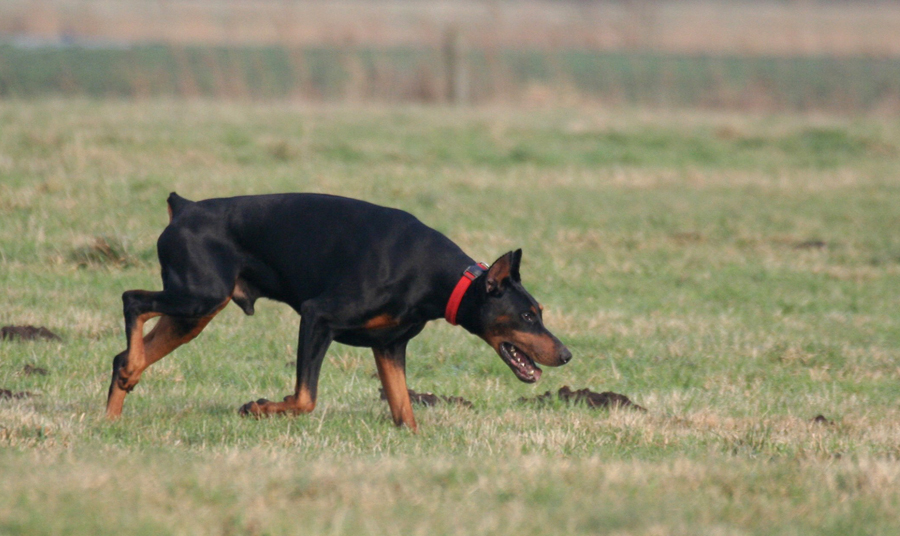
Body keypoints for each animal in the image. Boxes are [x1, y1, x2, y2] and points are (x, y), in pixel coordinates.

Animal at [105, 193, 568, 432]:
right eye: (528, 316)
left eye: (540, 311)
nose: (565, 354)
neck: (434, 275)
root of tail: (182, 207)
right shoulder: (317, 317)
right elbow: (305, 398)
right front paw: (258, 407)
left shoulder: (389, 346)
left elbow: (404, 411)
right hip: (197, 296)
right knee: (131, 300)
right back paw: (130, 373)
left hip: (193, 313)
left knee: (123, 353)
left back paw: (114, 411)